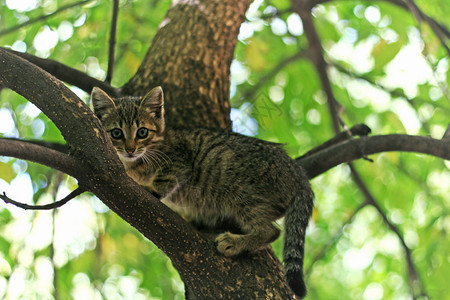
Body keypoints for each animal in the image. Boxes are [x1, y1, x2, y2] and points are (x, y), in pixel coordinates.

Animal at [91, 86, 312, 298]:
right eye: (116, 133)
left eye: (142, 132)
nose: (130, 149)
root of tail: (296, 170)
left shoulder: (179, 160)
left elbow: (166, 178)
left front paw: (152, 187)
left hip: (241, 191)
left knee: (271, 231)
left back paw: (234, 242)